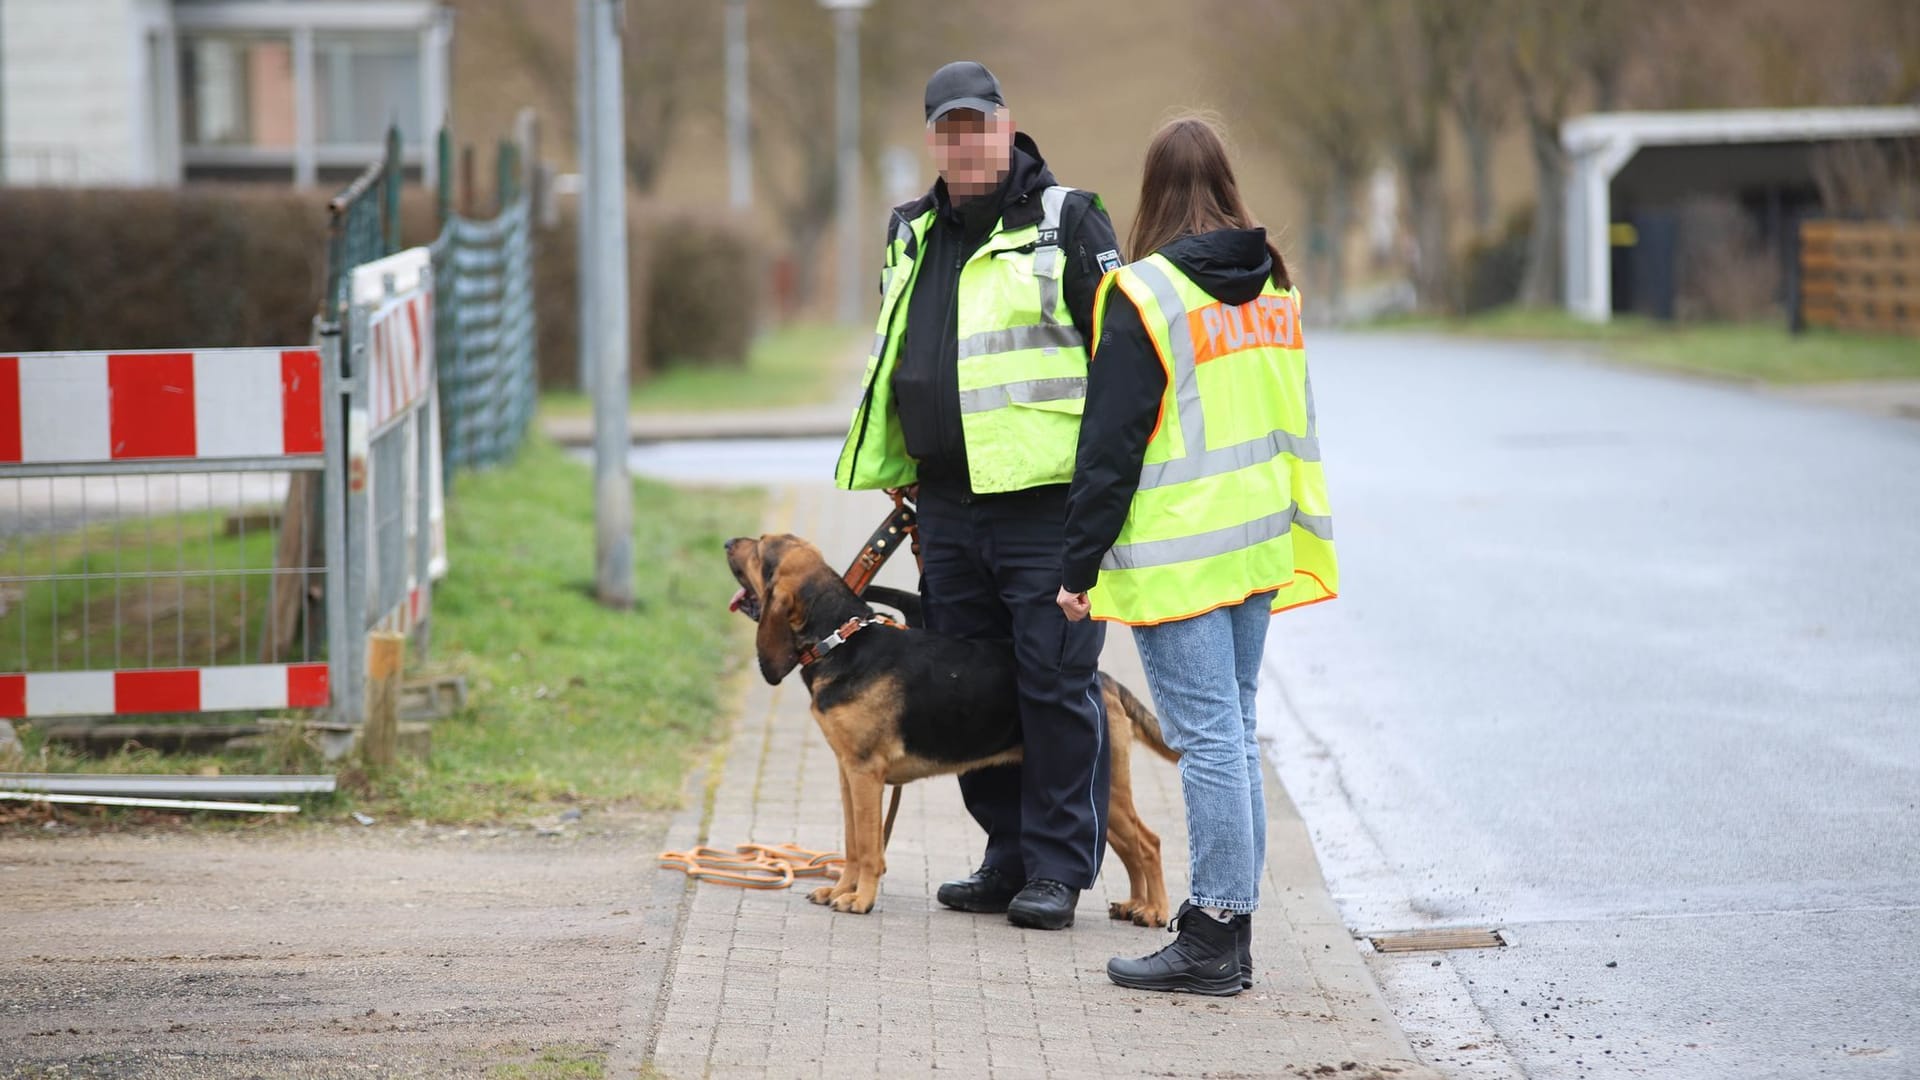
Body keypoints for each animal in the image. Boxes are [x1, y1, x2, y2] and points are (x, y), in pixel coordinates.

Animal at [721, 530, 1175, 914]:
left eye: (760, 551)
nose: (727, 542)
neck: (841, 639)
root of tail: (1107, 682)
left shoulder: (866, 773)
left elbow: (868, 848)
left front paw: (860, 899)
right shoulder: (848, 773)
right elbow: (851, 842)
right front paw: (840, 890)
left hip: (1103, 781)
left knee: (1149, 843)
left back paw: (1154, 911)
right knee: (1132, 847)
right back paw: (1134, 906)